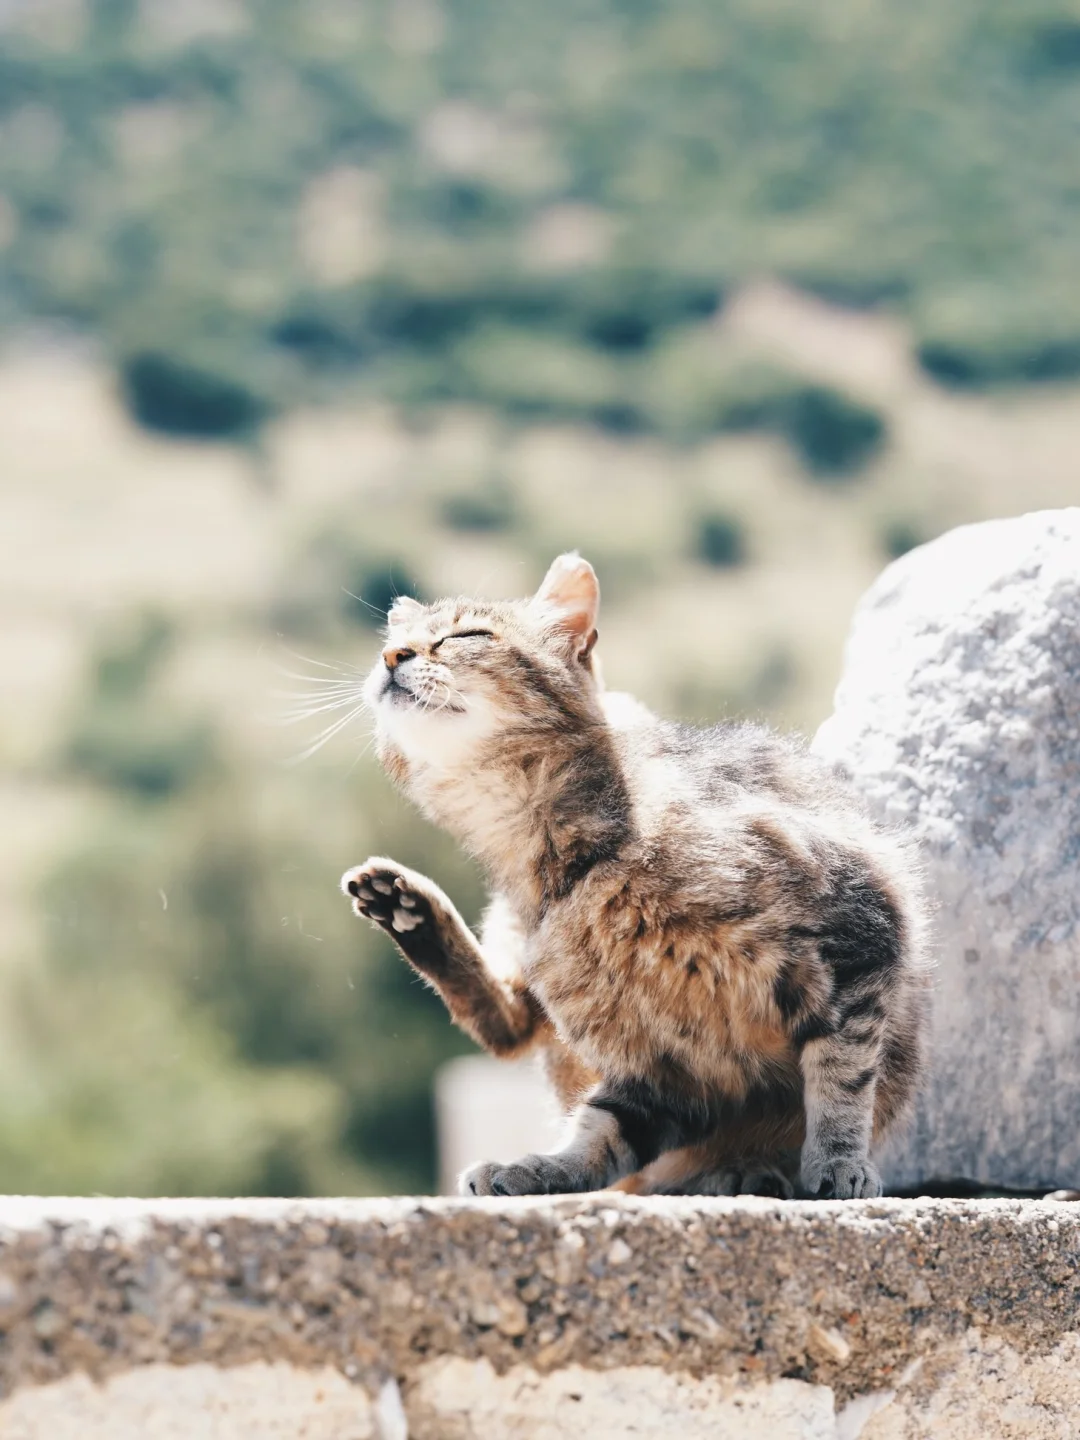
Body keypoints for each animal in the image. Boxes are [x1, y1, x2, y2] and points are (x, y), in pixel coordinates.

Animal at [339, 555, 933, 1198]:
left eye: (466, 635)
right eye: (394, 641)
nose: (392, 655)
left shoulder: (858, 921)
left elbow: (840, 1071)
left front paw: (837, 1162)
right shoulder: (660, 1065)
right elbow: (604, 1132)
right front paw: (541, 1170)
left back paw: (745, 1171)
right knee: (511, 1025)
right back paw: (409, 911)